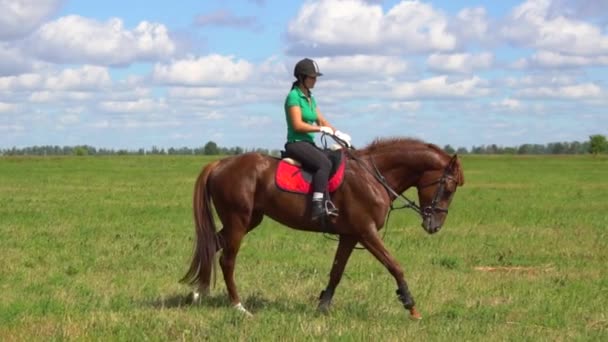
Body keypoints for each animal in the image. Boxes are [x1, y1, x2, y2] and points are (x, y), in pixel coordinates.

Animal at [180, 138, 466, 320]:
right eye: (449, 188)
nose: (434, 225)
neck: (373, 177)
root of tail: (220, 164)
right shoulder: (367, 232)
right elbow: (395, 265)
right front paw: (410, 305)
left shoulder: (350, 235)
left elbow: (336, 272)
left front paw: (322, 306)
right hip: (238, 222)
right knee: (227, 261)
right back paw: (239, 307)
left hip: (247, 221)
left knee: (210, 247)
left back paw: (198, 293)